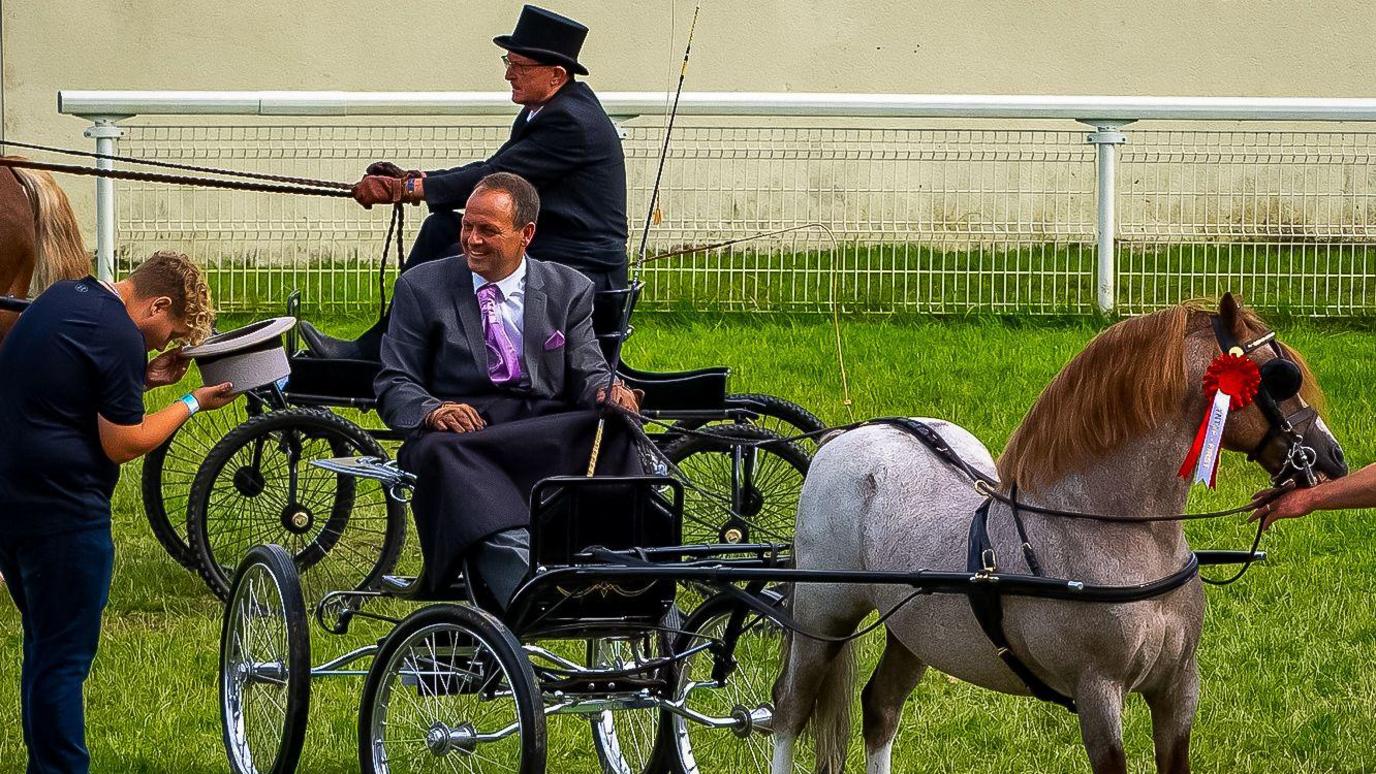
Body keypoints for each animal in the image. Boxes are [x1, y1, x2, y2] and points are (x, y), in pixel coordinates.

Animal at [770, 293, 1348, 771]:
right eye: (1280, 375)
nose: (1332, 458)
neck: (1114, 533)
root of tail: (848, 435)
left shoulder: (1178, 689)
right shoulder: (1098, 695)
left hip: (912, 634)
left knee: (881, 708)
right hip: (822, 618)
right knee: (788, 710)